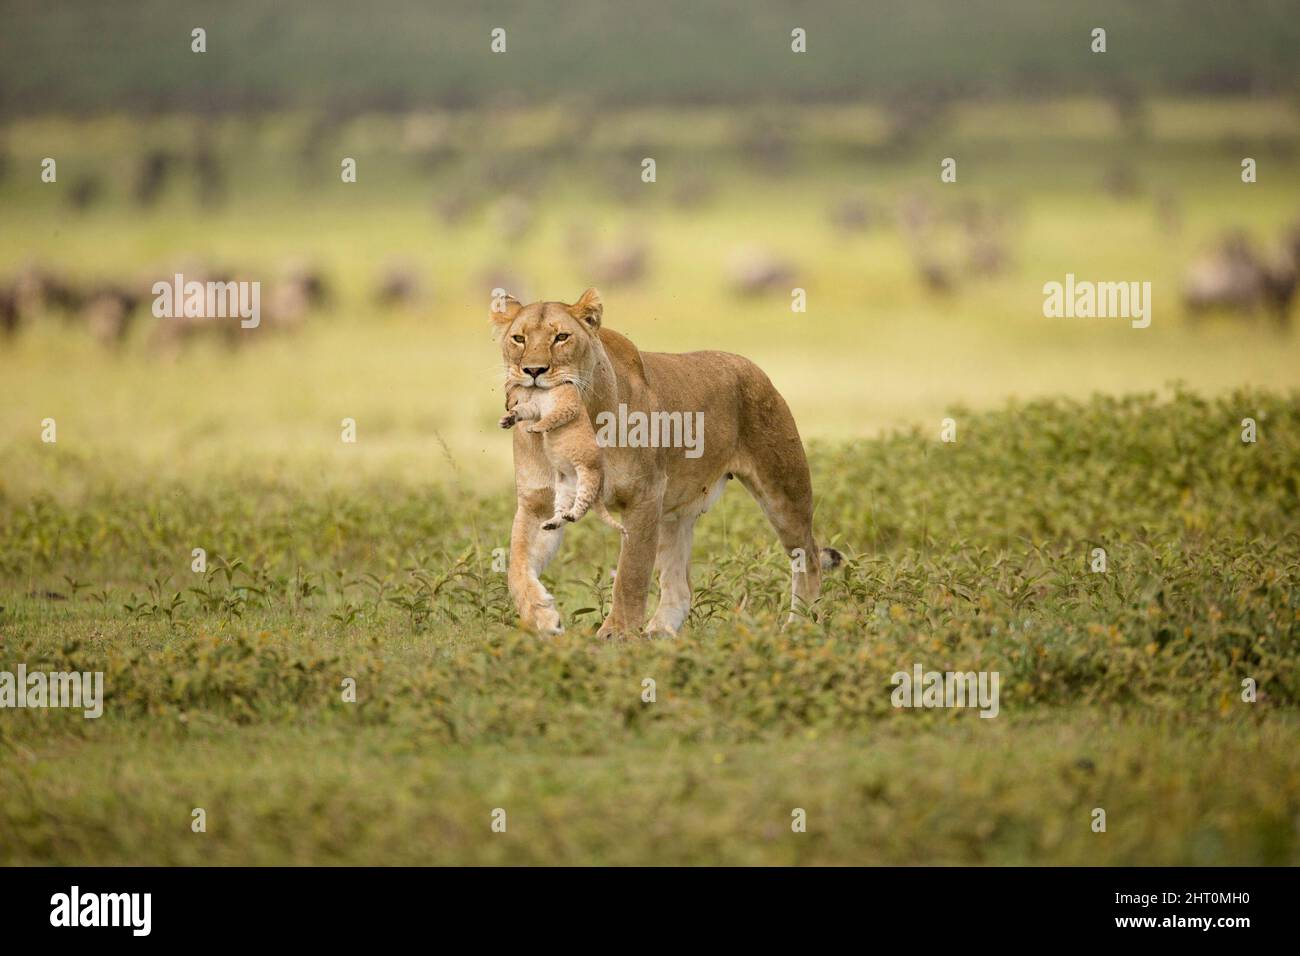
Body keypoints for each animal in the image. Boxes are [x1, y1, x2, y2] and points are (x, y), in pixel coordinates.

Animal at [491, 287, 841, 638]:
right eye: (519, 339)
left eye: (562, 337)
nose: (533, 371)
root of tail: (751, 367)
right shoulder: (539, 504)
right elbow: (517, 566)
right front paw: (542, 617)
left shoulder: (643, 495)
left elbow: (630, 574)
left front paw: (616, 634)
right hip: (674, 514)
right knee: (680, 586)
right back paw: (659, 634)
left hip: (783, 490)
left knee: (808, 556)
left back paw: (799, 626)